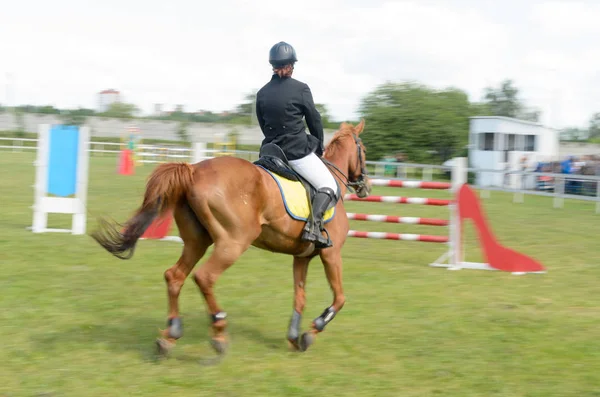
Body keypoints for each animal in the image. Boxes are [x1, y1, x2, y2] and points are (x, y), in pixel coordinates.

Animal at [91, 119, 370, 354]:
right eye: (364, 151)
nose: (365, 187)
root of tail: (193, 170)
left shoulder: (301, 257)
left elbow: (299, 297)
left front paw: (294, 337)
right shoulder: (331, 254)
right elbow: (340, 298)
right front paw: (313, 330)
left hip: (197, 242)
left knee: (174, 276)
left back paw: (170, 335)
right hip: (233, 243)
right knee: (204, 277)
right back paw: (218, 334)